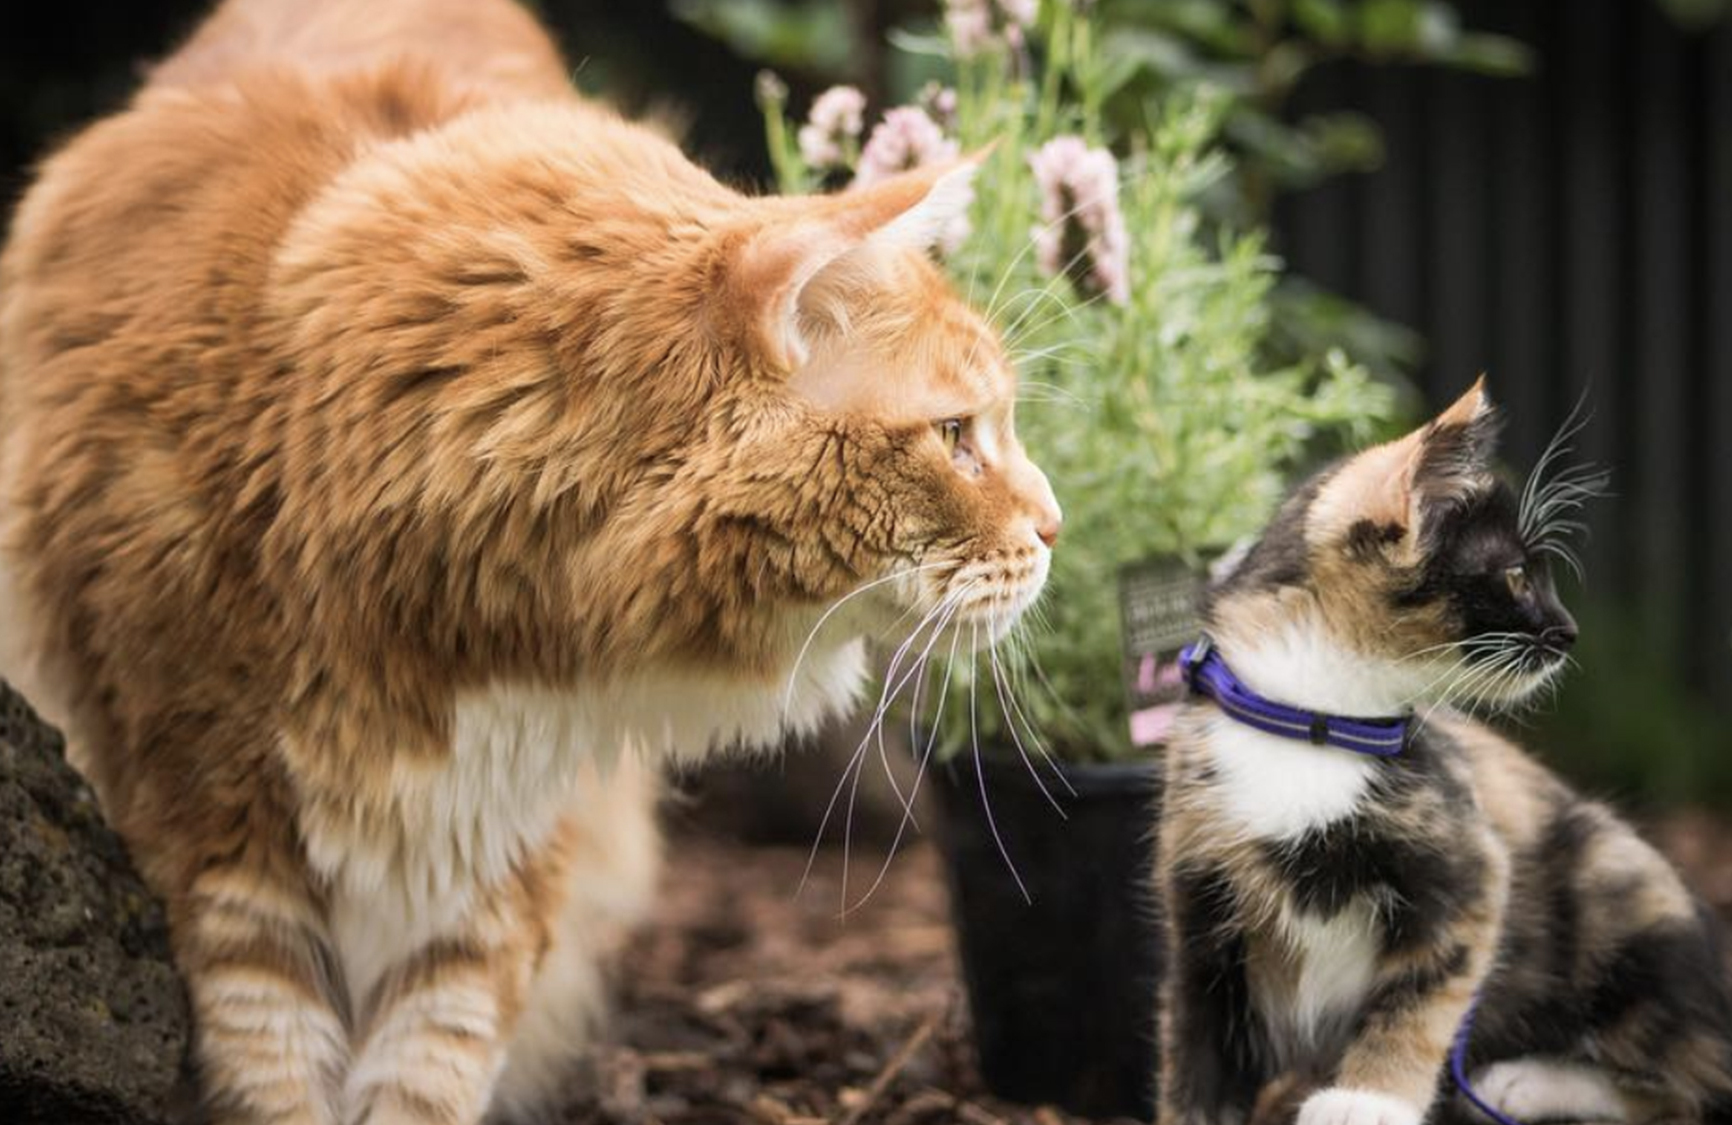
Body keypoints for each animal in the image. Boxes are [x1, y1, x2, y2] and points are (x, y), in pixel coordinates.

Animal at [0, 2, 1053, 1121]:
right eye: (956, 438)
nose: (1055, 526)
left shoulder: (500, 861)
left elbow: (427, 1072)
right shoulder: (211, 821)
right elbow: (279, 1074)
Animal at [1156, 380, 1732, 1121]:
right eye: (1515, 575)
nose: (1569, 631)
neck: (1312, 721)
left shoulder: (1469, 867)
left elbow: (1422, 992)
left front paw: (1369, 1098)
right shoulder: (1198, 901)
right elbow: (1195, 1049)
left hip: (1623, 895)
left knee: (1691, 1081)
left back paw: (1521, 1081)